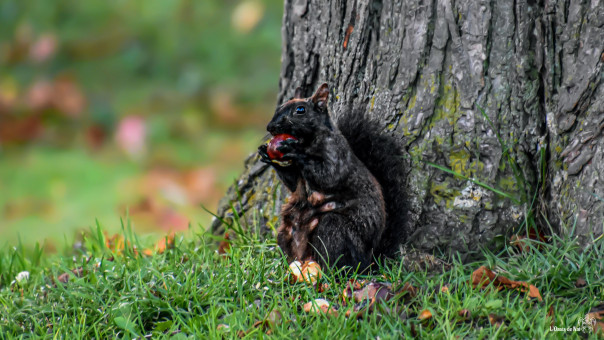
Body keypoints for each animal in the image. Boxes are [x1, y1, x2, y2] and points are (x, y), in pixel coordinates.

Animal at [258, 83, 408, 270]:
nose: (270, 127)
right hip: (286, 231)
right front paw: (265, 154)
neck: (307, 141)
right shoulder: (297, 177)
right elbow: (293, 184)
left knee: (339, 261)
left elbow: (329, 176)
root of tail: (370, 260)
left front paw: (294, 150)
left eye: (300, 110)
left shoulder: (337, 154)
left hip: (334, 228)